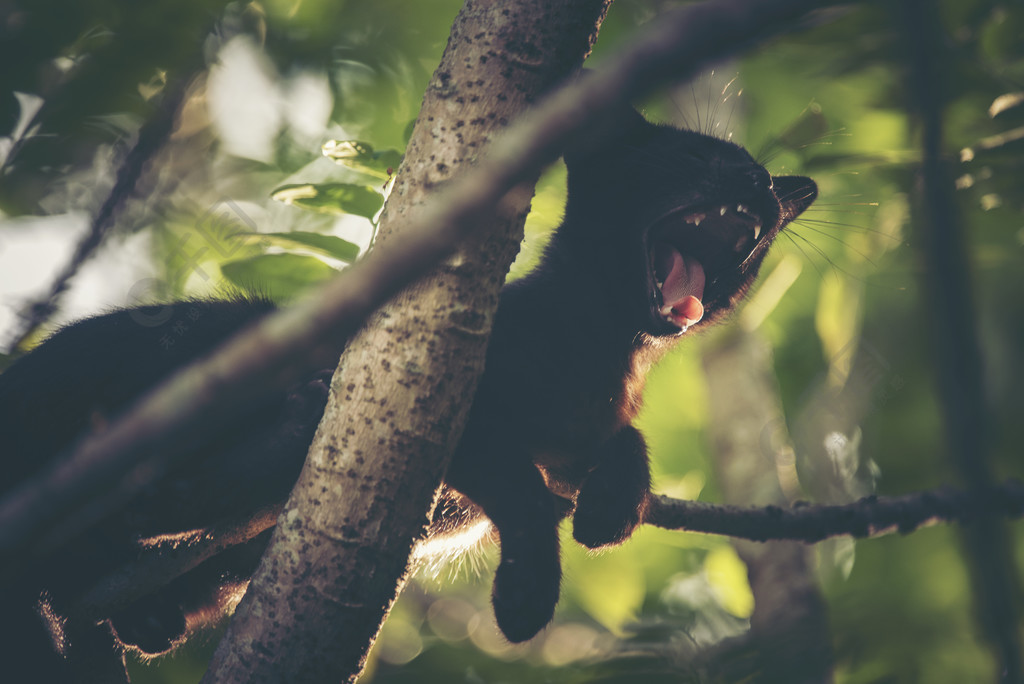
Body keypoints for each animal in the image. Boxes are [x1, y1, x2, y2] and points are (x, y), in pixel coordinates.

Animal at [0, 109, 815, 675]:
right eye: (697, 156)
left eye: (767, 189)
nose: (759, 187)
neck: (603, 351)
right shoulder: (444, 410)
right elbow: (521, 493)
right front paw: (526, 596)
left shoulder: (529, 463)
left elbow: (618, 444)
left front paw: (613, 507)